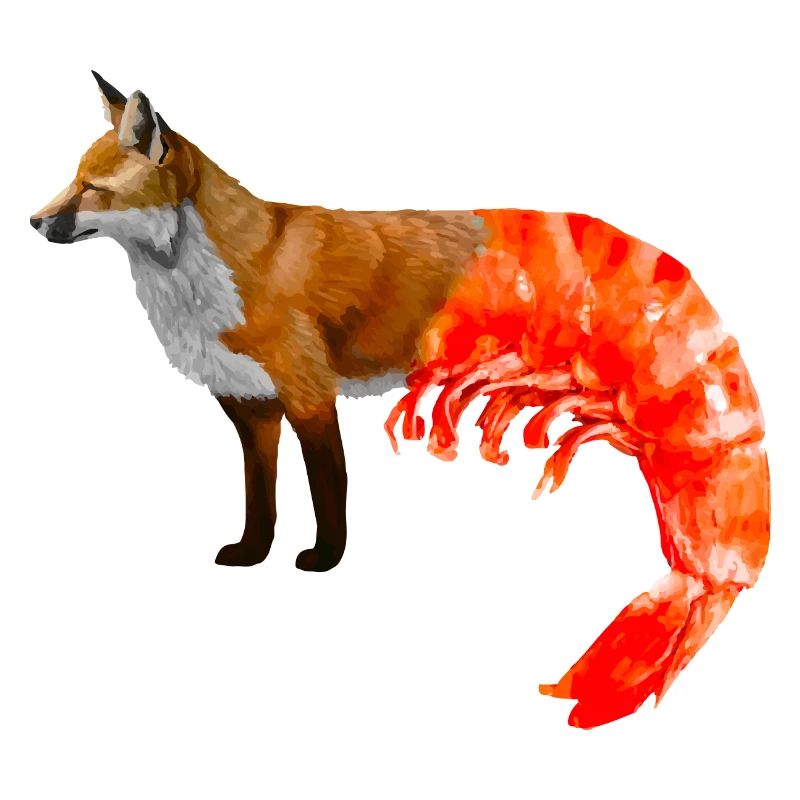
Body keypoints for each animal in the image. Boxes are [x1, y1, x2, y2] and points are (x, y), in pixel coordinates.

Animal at [31, 73, 769, 728]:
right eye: (73, 178)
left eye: (92, 189)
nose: (35, 221)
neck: (210, 280)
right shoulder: (251, 405)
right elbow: (259, 498)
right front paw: (252, 553)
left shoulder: (308, 395)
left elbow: (330, 490)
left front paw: (325, 560)